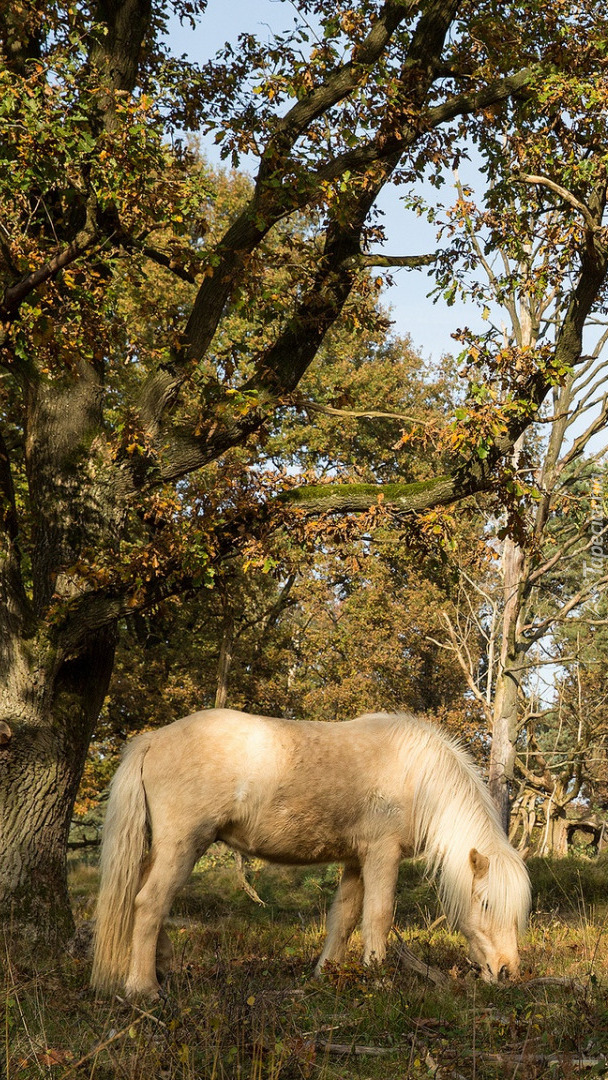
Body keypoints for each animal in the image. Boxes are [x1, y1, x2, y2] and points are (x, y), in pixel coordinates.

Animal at [88, 704, 531, 997]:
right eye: (486, 903)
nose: (506, 971)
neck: (416, 775)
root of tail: (153, 739)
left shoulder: (356, 859)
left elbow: (344, 918)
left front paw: (327, 973)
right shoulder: (382, 855)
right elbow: (378, 916)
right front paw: (377, 979)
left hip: (165, 849)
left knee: (145, 897)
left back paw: (161, 970)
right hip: (184, 845)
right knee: (149, 903)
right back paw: (144, 988)